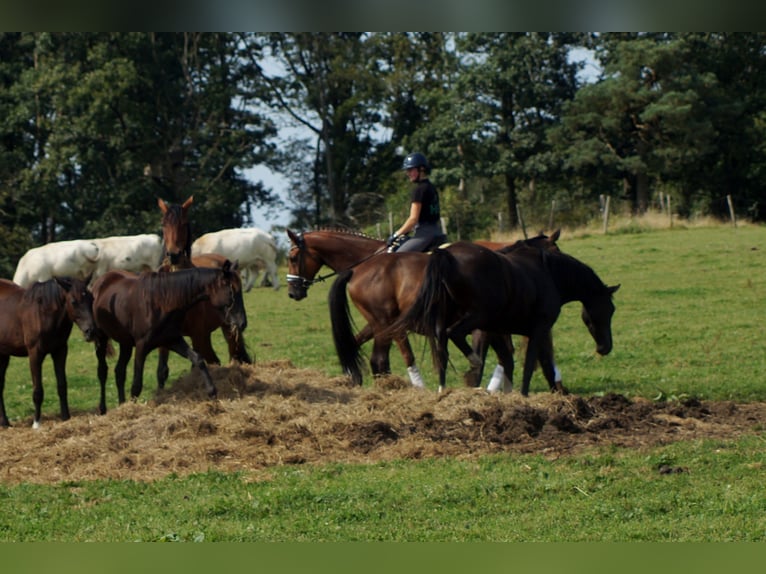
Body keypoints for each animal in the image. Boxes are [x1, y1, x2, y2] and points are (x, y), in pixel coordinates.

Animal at [0, 276, 97, 430]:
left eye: (91, 299)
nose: (91, 331)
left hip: (4, 355)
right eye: (73, 301)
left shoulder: (60, 351)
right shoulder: (35, 355)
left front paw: (66, 417)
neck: (44, 313)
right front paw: (36, 423)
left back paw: (4, 422)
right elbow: (38, 391)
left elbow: (62, 385)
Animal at [90, 264, 246, 416]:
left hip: (125, 343)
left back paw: (121, 403)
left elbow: (198, 359)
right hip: (102, 339)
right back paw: (103, 408)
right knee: (103, 372)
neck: (161, 303)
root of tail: (100, 282)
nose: (242, 322)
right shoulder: (141, 347)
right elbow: (137, 384)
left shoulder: (173, 340)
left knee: (119, 371)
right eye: (232, 291)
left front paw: (212, 391)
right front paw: (133, 409)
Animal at [158, 196, 254, 390]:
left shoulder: (197, 335)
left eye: (184, 223)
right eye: (163, 224)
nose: (174, 255)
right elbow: (162, 371)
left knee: (232, 355)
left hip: (226, 328)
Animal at [390, 242, 616, 396]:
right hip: (474, 317)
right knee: (454, 334)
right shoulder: (539, 329)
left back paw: (442, 389)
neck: (549, 274)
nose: (605, 347)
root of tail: (446, 255)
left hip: (445, 322)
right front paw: (524, 395)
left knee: (442, 353)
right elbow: (532, 364)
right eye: (609, 309)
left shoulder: (497, 330)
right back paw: (473, 360)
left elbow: (517, 363)